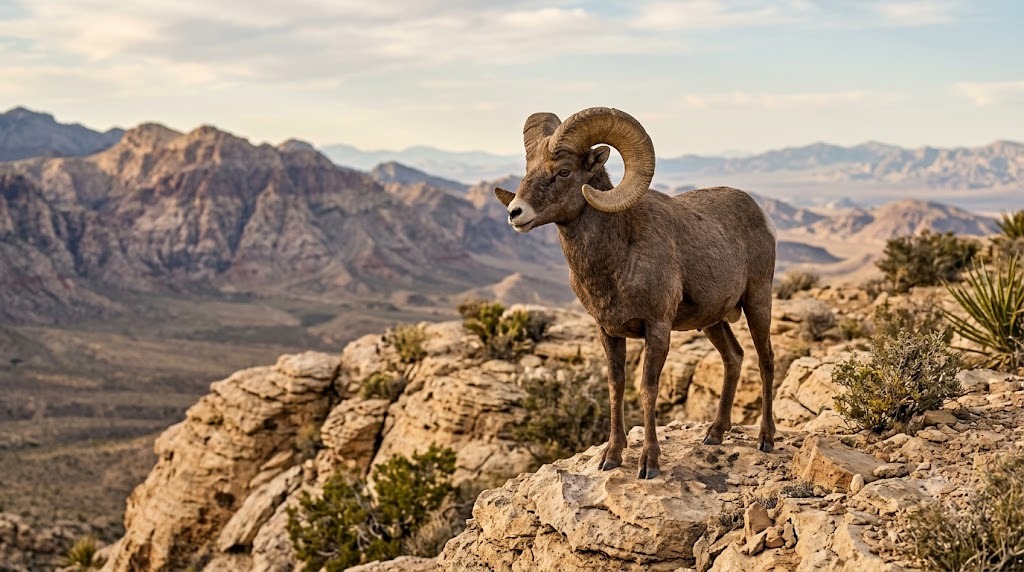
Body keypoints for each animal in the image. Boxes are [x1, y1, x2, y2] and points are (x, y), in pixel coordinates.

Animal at [494, 107, 778, 479]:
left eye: (563, 171)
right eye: (529, 169)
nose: (515, 213)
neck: (618, 256)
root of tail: (761, 214)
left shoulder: (657, 330)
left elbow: (647, 389)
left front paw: (649, 463)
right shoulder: (608, 332)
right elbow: (616, 387)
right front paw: (611, 457)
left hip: (758, 302)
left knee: (765, 360)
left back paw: (766, 439)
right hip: (713, 321)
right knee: (734, 357)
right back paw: (715, 434)